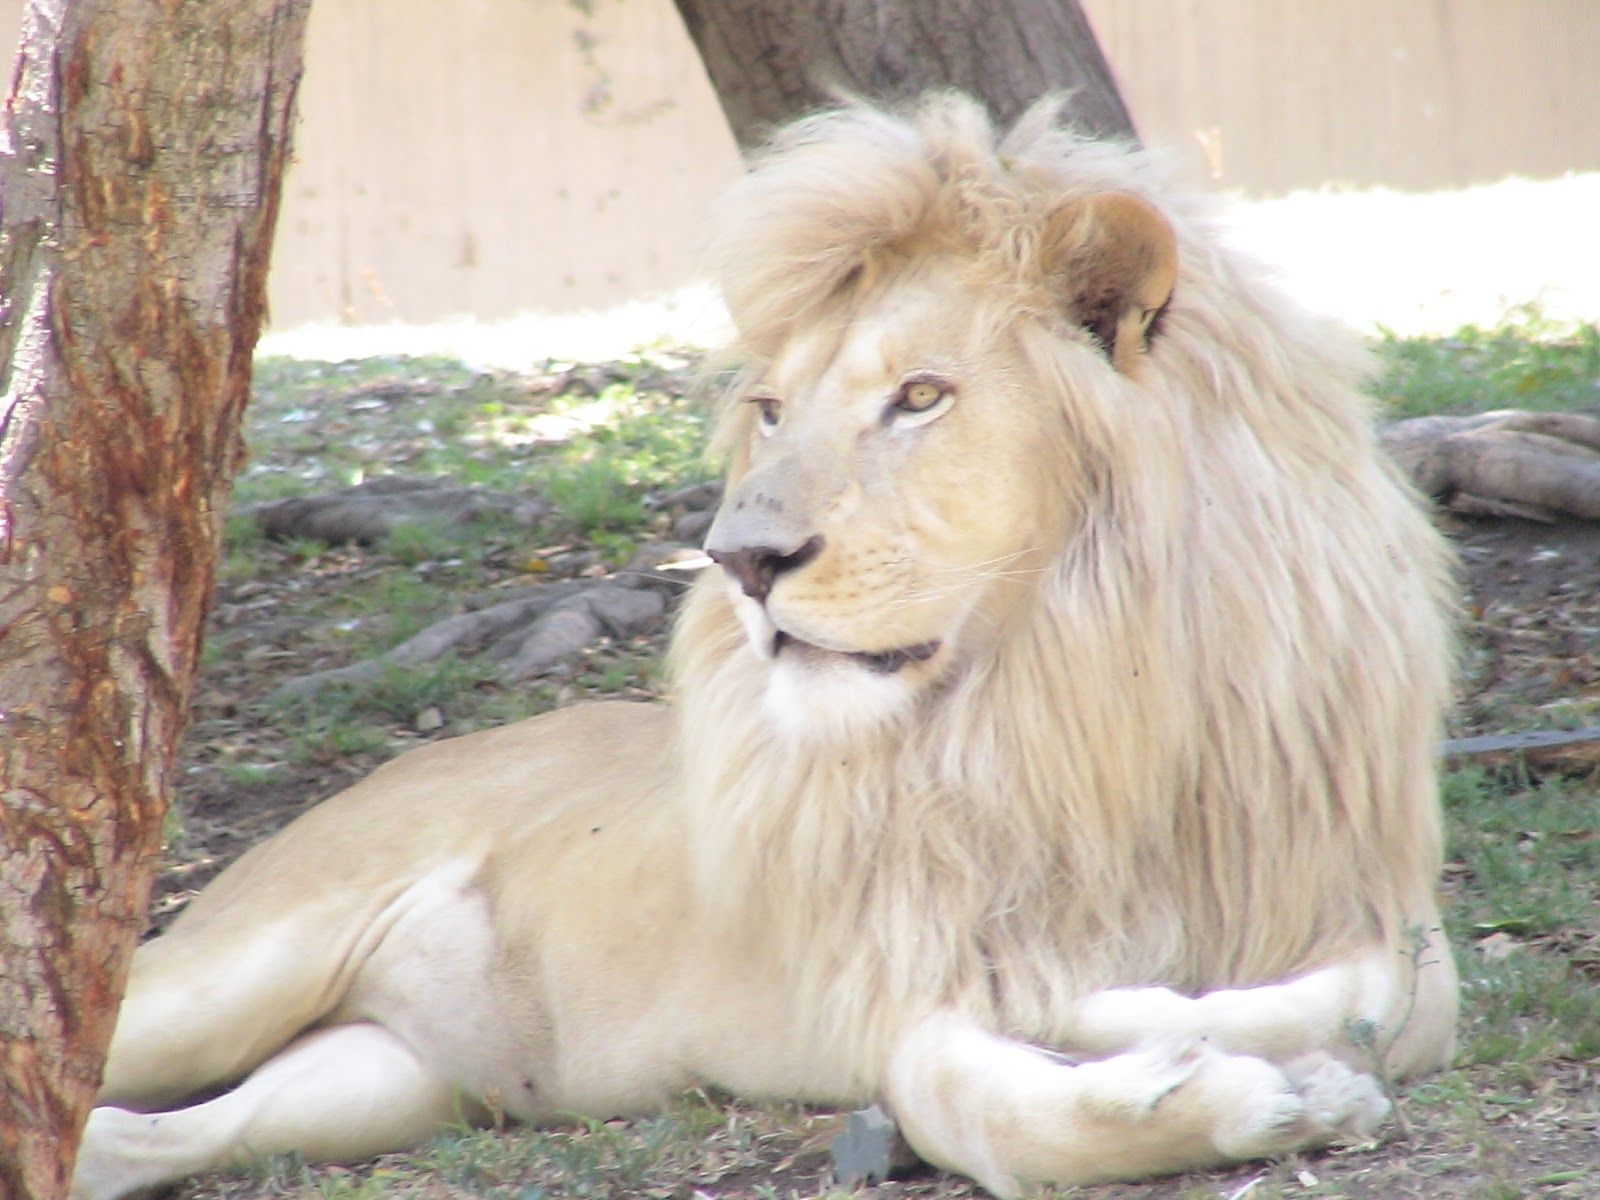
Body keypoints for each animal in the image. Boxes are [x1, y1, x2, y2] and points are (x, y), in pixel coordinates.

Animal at [73, 94, 1458, 1200]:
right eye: (775, 411)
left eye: (920, 397)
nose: (739, 560)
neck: (1070, 698)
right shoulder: (893, 977)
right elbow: (987, 1094)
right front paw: (1211, 1076)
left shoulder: (1378, 898)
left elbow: (1392, 996)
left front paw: (1263, 1055)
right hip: (227, 973)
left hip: (385, 1079)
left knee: (125, 1138)